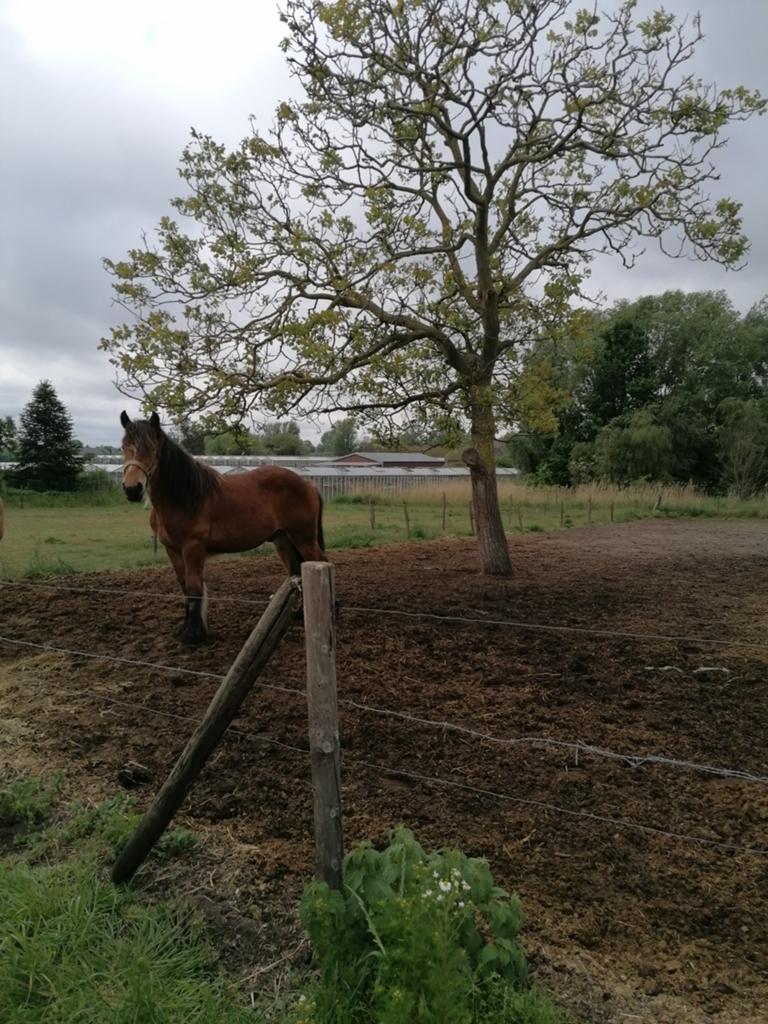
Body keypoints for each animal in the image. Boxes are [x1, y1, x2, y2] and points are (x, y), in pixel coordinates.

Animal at [119, 411, 326, 645]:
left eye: (151, 449)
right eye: (124, 446)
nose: (132, 489)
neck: (185, 497)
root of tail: (308, 484)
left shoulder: (193, 547)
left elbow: (194, 588)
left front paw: (193, 635)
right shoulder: (172, 550)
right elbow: (184, 586)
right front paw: (186, 629)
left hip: (304, 539)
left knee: (320, 562)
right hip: (283, 540)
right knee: (296, 571)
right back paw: (300, 613)